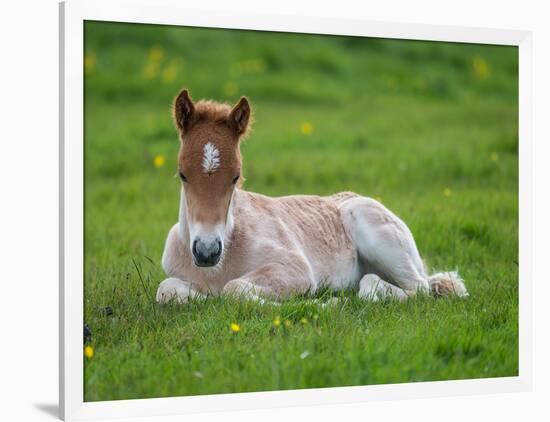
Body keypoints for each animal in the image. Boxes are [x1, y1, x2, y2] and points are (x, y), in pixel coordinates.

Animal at [156, 88, 470, 304]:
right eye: (182, 174)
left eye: (235, 177)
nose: (207, 252)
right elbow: (166, 291)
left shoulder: (296, 269)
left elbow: (233, 289)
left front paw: (322, 304)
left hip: (378, 233)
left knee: (417, 288)